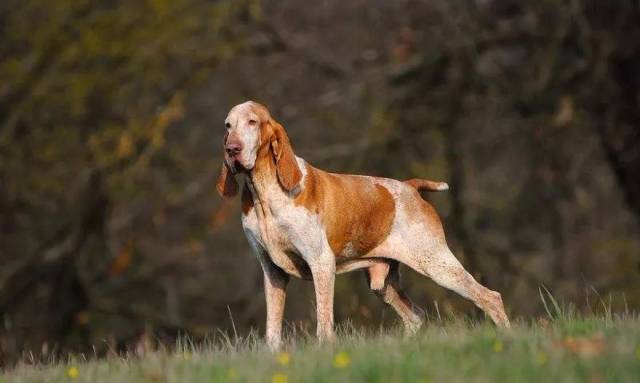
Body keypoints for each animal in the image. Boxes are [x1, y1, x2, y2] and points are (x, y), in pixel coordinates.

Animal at [215, 101, 510, 352]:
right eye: (228, 125)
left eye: (252, 122)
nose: (232, 149)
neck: (263, 192)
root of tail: (410, 187)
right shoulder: (272, 271)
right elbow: (273, 329)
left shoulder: (321, 262)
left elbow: (324, 321)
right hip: (383, 284)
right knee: (415, 317)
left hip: (438, 265)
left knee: (490, 297)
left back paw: (507, 339)